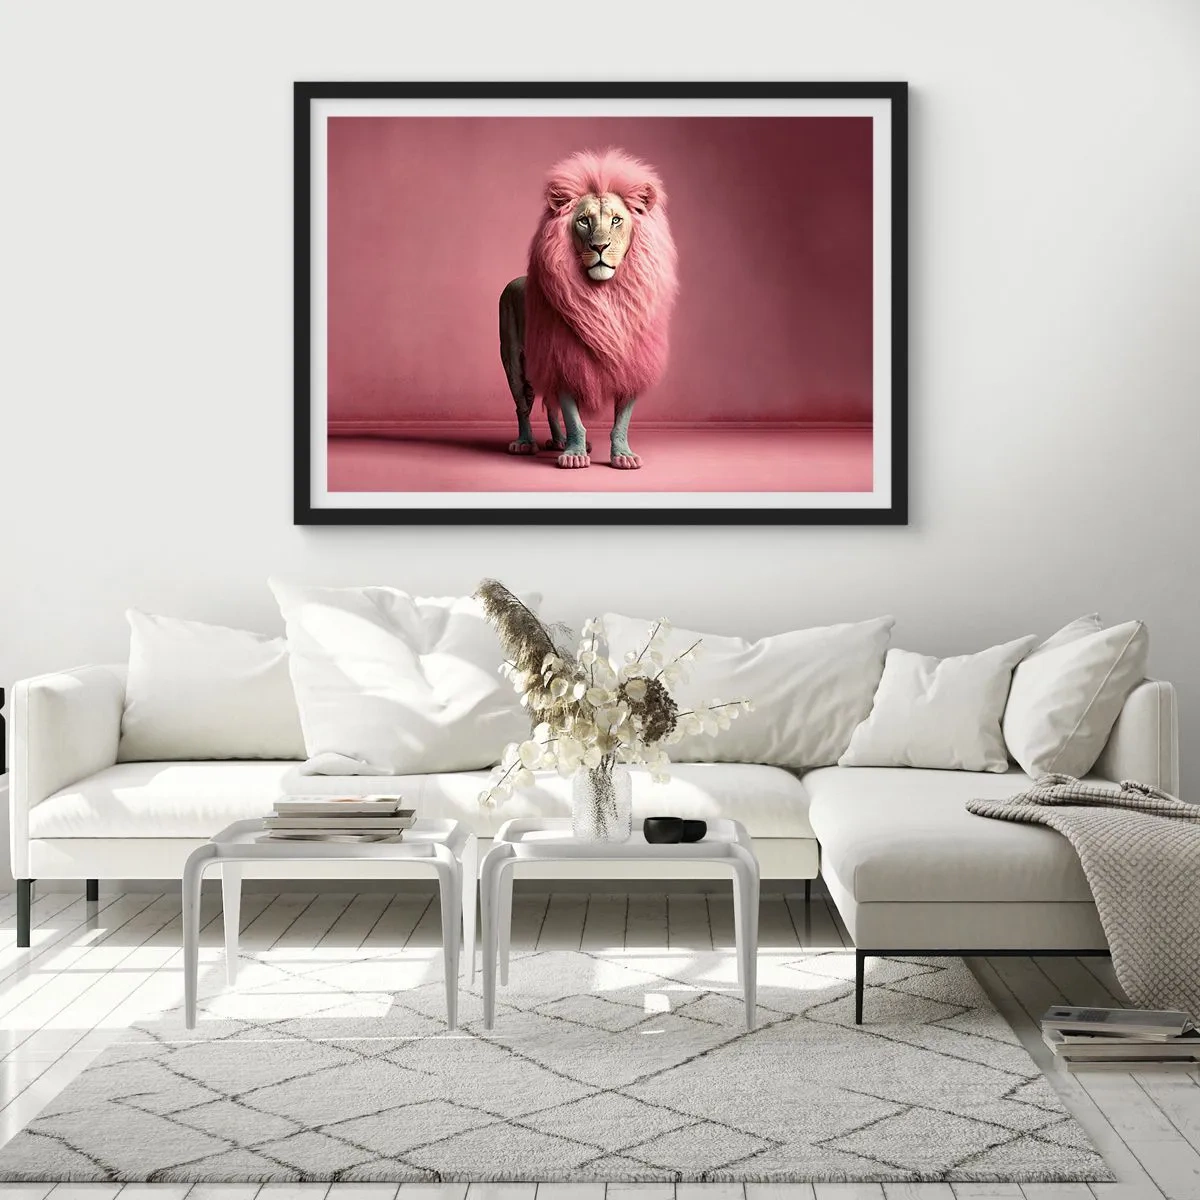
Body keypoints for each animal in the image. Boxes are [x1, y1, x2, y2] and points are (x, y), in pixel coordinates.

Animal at [499, 149, 678, 469]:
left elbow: (621, 421)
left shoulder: (632, 364)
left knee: (550, 406)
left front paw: (623, 456)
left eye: (617, 220)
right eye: (583, 221)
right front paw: (574, 455)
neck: (605, 295)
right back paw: (525, 443)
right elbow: (573, 418)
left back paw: (557, 441)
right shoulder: (562, 358)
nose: (600, 247)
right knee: (523, 407)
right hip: (514, 364)